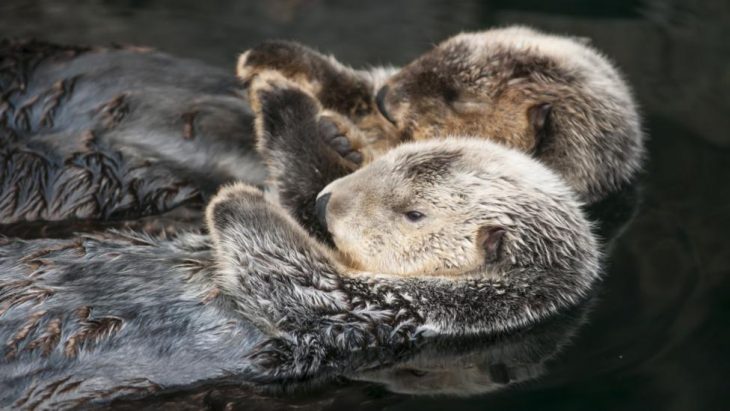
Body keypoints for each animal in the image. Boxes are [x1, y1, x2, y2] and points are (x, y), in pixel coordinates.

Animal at [0, 71, 596, 408]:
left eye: (414, 213)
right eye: (392, 158)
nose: (331, 202)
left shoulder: (383, 311)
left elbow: (291, 280)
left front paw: (236, 199)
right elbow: (299, 193)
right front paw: (288, 103)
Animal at [239, 25, 644, 203]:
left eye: (458, 98)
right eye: (436, 51)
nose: (386, 98)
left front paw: (333, 138)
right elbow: (352, 90)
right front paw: (270, 57)